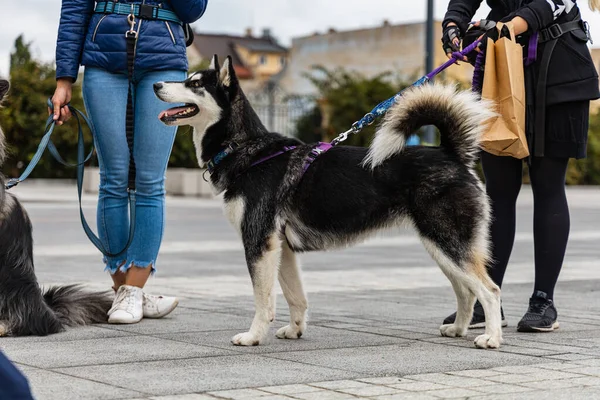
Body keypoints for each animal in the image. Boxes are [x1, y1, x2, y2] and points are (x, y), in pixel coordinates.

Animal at [154, 54, 502, 348]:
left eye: (195, 84)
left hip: (447, 242)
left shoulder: (258, 242)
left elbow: (263, 300)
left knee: (490, 290)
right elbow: (295, 296)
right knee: (466, 291)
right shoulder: (281, 247)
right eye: (187, 78)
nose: (156, 85)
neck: (246, 151)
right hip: (441, 247)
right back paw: (458, 328)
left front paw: (253, 336)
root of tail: (451, 154)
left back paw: (491, 337)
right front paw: (295, 330)